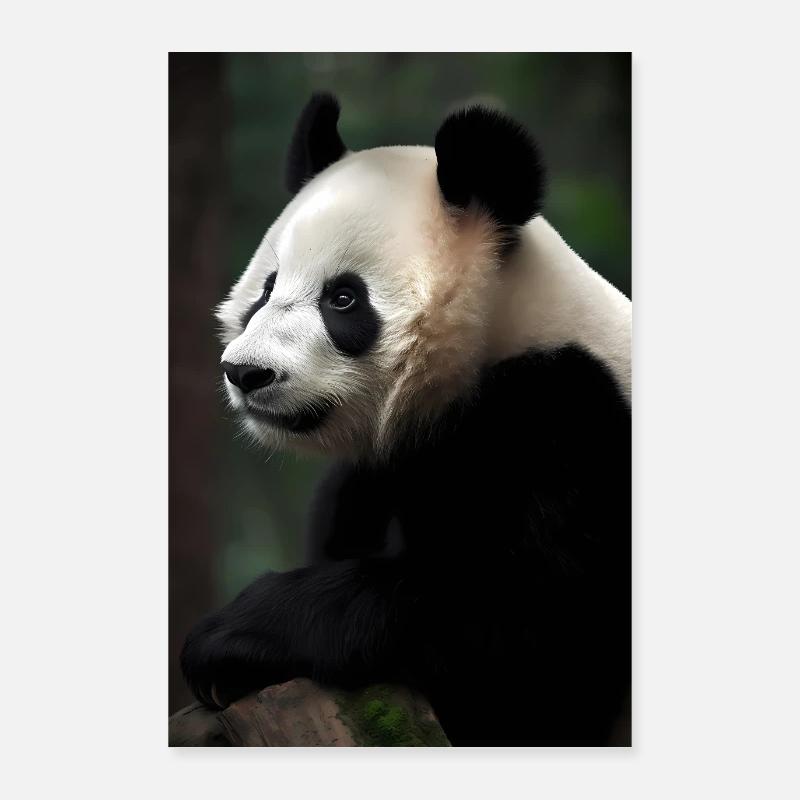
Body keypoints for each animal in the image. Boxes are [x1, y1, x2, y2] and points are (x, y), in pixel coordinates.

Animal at [181, 92, 631, 746]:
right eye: (266, 288)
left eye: (343, 298)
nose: (246, 373)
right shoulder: (378, 472)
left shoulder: (570, 421)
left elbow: (532, 629)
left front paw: (233, 635)